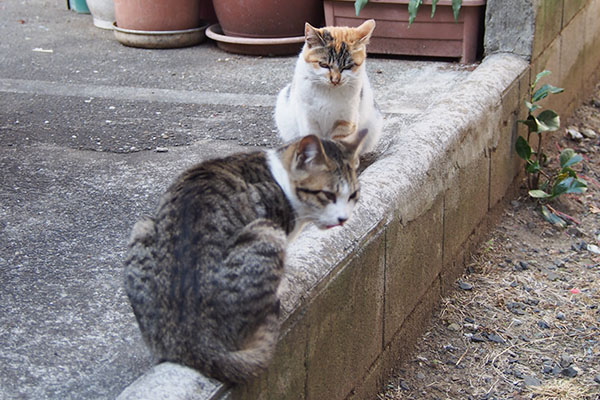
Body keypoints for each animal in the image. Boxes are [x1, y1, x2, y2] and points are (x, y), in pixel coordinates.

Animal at [122, 131, 366, 384]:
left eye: (353, 195)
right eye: (327, 194)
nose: (343, 219)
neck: (280, 178)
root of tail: (193, 343)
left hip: (143, 227)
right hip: (266, 231)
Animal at [276, 18, 382, 154]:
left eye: (348, 67)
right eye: (323, 65)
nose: (335, 80)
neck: (328, 92)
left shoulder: (346, 122)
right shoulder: (309, 120)